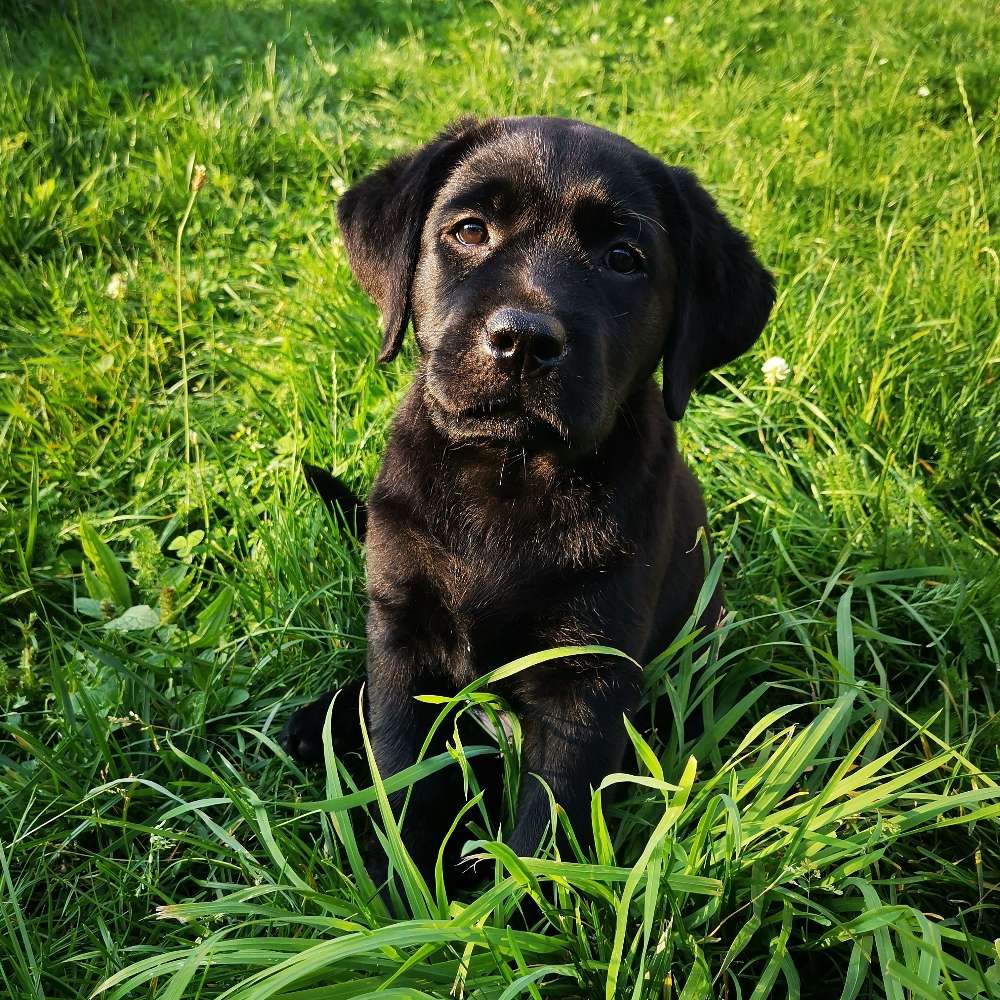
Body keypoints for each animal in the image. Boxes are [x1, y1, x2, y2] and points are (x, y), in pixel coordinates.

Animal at [282, 115, 772, 876]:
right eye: (469, 230)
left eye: (623, 259)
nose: (522, 341)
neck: (510, 476)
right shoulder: (403, 640)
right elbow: (407, 783)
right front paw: (406, 894)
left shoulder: (588, 684)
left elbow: (545, 830)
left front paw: (508, 905)